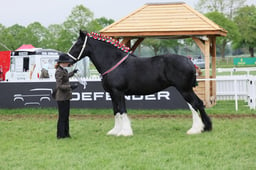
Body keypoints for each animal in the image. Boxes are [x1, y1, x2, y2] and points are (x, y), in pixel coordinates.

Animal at [67, 30, 211, 136]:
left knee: (195, 104)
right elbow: (116, 111)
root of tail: (189, 61)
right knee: (198, 103)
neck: (114, 62)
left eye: (77, 44)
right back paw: (206, 127)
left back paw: (195, 129)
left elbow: (122, 110)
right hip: (188, 89)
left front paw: (125, 132)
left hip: (184, 89)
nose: (67, 60)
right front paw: (115, 131)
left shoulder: (118, 92)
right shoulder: (113, 94)